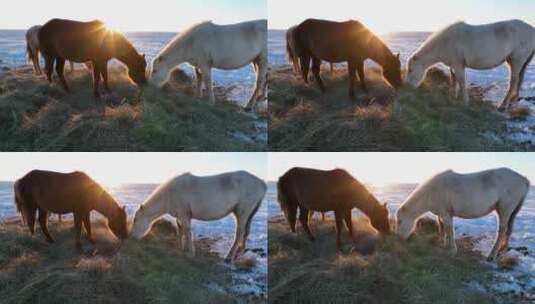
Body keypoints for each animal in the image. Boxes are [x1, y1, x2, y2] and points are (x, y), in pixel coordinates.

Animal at [131, 171, 266, 262]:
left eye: (135, 220)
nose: (132, 237)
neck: (169, 194)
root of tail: (262, 183)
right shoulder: (180, 216)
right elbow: (181, 231)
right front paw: (181, 248)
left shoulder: (184, 215)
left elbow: (187, 232)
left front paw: (190, 253)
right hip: (249, 213)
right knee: (246, 231)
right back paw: (239, 253)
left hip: (242, 211)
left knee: (239, 233)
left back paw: (229, 257)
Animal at [396, 169, 528, 262]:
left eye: (400, 221)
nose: (399, 239)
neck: (431, 192)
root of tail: (524, 179)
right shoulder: (442, 214)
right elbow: (442, 227)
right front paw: (443, 244)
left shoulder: (446, 214)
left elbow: (449, 230)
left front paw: (452, 251)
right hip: (512, 211)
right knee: (509, 230)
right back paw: (502, 250)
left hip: (505, 209)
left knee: (502, 230)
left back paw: (492, 256)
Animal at [406, 19, 535, 111]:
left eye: (410, 70)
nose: (407, 87)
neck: (446, 41)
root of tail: (531, 29)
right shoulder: (452, 66)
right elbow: (453, 81)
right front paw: (452, 97)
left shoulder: (458, 65)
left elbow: (461, 82)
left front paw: (465, 102)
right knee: (519, 81)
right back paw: (512, 101)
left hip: (516, 60)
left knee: (513, 82)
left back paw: (503, 106)